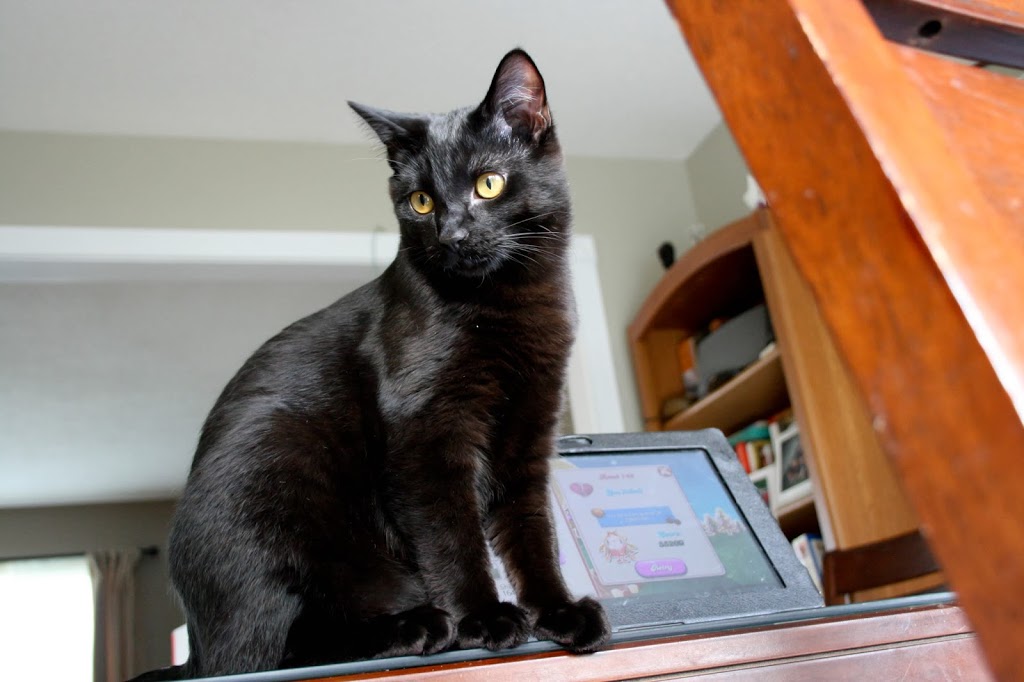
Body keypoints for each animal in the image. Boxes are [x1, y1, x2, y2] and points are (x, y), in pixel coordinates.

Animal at [134, 49, 610, 680]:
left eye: (488, 184)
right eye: (421, 201)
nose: (452, 233)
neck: (506, 304)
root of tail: (194, 649)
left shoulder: (530, 430)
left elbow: (533, 533)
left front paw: (558, 612)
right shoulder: (425, 436)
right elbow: (452, 538)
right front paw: (485, 618)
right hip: (273, 485)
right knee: (270, 652)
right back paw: (417, 626)